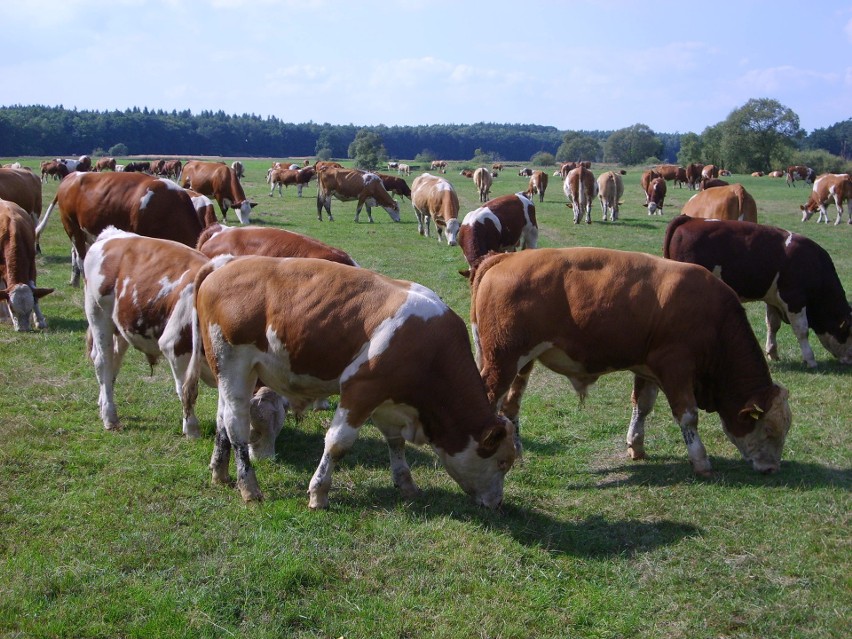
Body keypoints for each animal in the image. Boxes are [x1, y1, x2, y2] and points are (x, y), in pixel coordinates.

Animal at [35, 172, 206, 288]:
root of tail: (71, 176)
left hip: (83, 231)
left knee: (75, 252)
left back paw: (74, 280)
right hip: (71, 225)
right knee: (81, 257)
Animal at [81, 228, 286, 442]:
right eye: (259, 422)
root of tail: (112, 234)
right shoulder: (175, 347)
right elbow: (188, 391)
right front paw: (191, 429)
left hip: (121, 325)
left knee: (114, 361)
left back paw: (103, 402)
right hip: (97, 314)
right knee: (103, 361)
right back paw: (110, 416)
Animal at [189, 258, 516, 508]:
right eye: (502, 462)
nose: (498, 503)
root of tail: (223, 265)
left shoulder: (387, 399)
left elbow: (395, 442)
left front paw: (406, 483)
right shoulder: (362, 389)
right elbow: (337, 443)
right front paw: (319, 493)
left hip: (230, 373)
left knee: (222, 420)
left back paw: (220, 472)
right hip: (235, 365)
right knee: (236, 426)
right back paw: (249, 487)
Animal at [466, 248, 792, 478]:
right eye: (769, 430)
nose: (772, 468)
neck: (714, 318)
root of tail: (506, 258)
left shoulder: (648, 367)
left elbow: (643, 405)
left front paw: (636, 445)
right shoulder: (676, 366)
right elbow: (688, 417)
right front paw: (701, 461)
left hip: (522, 362)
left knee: (510, 407)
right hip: (503, 361)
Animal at [664, 215, 852, 368]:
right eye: (848, 331)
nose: (849, 360)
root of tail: (690, 219)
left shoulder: (773, 299)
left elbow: (773, 325)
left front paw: (772, 353)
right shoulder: (794, 299)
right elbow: (802, 330)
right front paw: (810, 359)